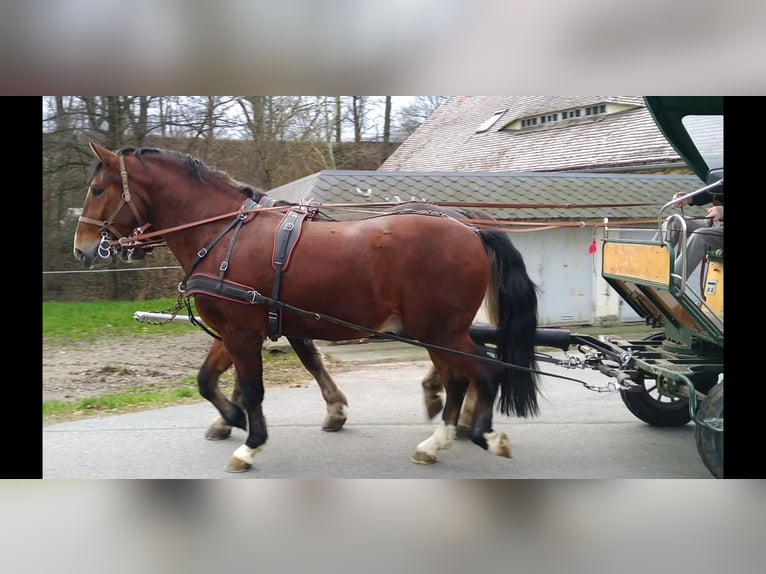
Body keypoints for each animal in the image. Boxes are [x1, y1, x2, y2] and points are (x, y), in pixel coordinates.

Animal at [72, 145, 540, 476]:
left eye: (98, 190)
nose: (82, 249)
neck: (223, 233)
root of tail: (470, 228)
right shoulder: (237, 329)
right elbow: (208, 380)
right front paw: (234, 420)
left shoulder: (242, 331)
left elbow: (253, 388)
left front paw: (250, 443)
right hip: (435, 332)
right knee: (458, 378)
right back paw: (436, 441)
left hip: (441, 330)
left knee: (484, 372)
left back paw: (483, 435)